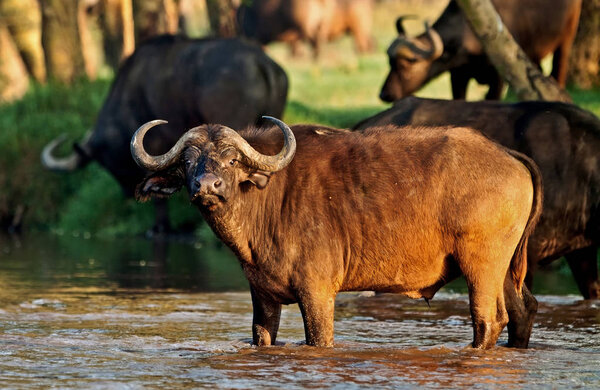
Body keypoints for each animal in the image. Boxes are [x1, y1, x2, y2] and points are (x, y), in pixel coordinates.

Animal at [132, 116, 544, 348]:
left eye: (233, 160)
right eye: (188, 162)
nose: (207, 186)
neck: (268, 199)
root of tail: (507, 154)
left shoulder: (317, 293)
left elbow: (319, 340)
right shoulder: (262, 296)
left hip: (481, 266)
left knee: (488, 320)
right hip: (505, 268)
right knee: (522, 311)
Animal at [380, 0, 580, 100]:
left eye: (408, 62)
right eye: (390, 63)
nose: (385, 94)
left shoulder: (498, 77)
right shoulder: (458, 75)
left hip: (566, 40)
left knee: (558, 73)